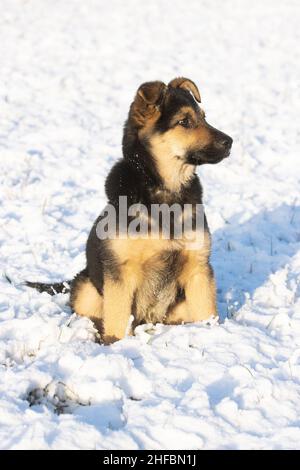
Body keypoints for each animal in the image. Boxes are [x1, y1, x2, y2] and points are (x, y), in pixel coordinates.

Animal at [26, 76, 232, 342]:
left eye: (204, 117)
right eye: (184, 121)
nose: (230, 142)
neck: (166, 191)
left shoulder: (198, 269)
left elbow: (208, 313)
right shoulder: (121, 273)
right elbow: (117, 320)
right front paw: (116, 345)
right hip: (86, 287)